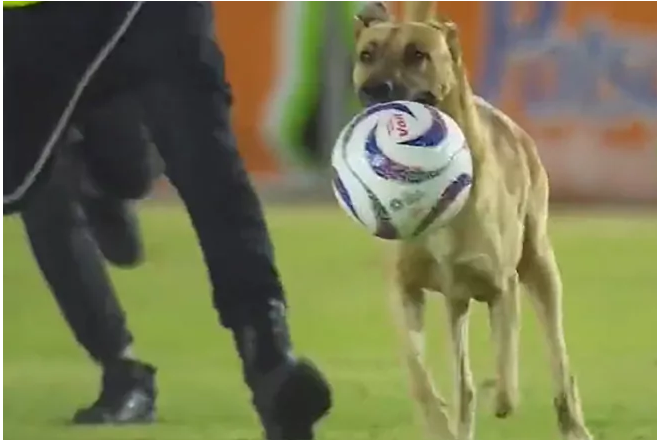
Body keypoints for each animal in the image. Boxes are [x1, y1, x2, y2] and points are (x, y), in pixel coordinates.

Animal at [354, 3, 596, 440]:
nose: (375, 90)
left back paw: (570, 420)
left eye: (418, 54)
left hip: (539, 266)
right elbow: (420, 375)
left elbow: (505, 368)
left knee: (557, 357)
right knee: (462, 379)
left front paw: (500, 396)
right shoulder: (406, 289)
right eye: (367, 54)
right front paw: (440, 420)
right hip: (456, 301)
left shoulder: (500, 285)